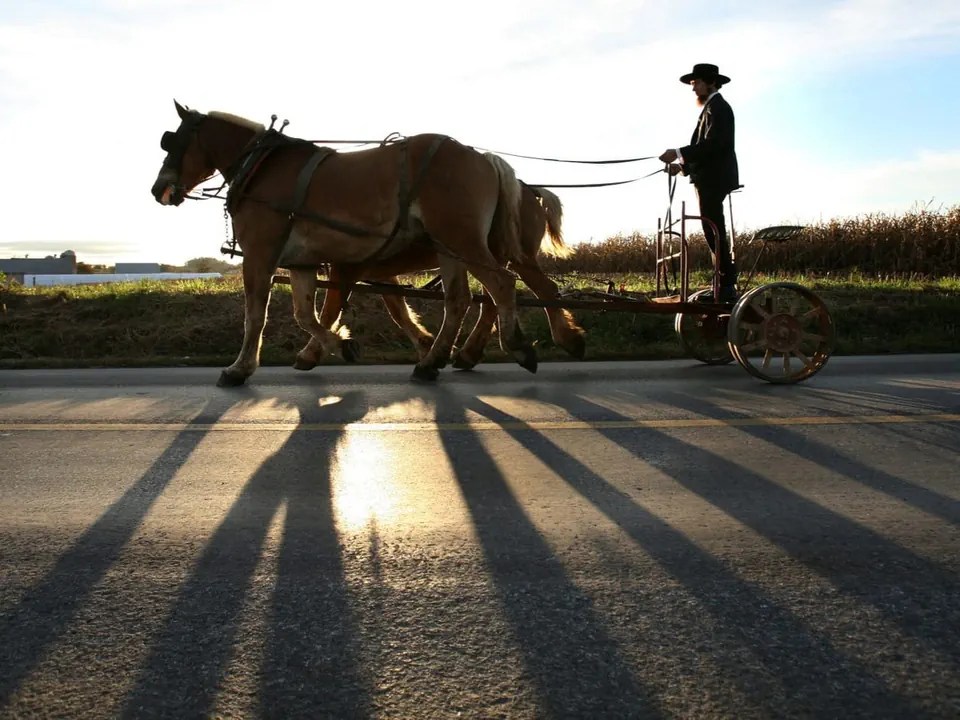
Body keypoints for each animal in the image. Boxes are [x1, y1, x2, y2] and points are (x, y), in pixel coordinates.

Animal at [154, 100, 536, 388]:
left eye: (171, 141)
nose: (158, 189)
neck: (260, 168)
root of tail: (482, 157)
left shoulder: (259, 255)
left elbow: (256, 316)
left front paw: (239, 369)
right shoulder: (302, 262)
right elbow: (305, 314)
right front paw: (340, 346)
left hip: (461, 239)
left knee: (501, 284)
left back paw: (517, 347)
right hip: (448, 247)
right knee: (458, 300)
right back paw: (431, 362)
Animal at [292, 183, 588, 372]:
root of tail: (528, 189)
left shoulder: (348, 269)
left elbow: (329, 312)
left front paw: (313, 352)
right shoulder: (379, 273)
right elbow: (398, 309)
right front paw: (425, 343)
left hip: (510, 256)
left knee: (538, 290)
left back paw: (567, 340)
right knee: (495, 299)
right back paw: (469, 353)